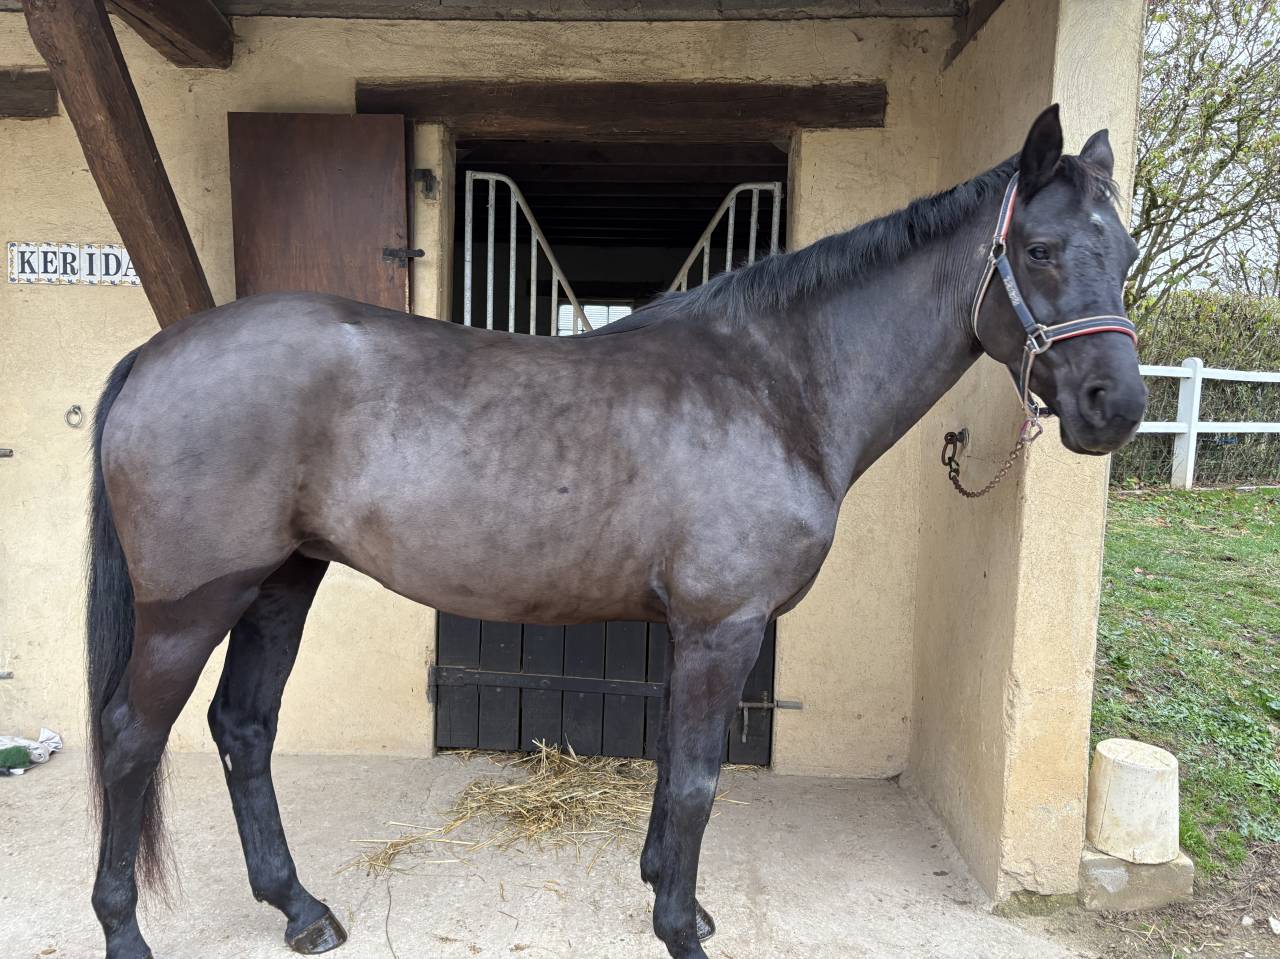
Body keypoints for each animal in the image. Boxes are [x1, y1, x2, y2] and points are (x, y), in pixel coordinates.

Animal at [84, 104, 1145, 959]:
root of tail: (155, 351)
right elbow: (697, 778)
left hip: (282, 581)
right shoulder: (723, 625)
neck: (777, 385)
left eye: (1127, 255)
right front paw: (681, 929)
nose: (1117, 407)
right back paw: (126, 929)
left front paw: (673, 898)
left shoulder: (692, 630)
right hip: (191, 607)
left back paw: (299, 908)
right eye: (1041, 250)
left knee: (242, 725)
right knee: (134, 737)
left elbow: (675, 767)